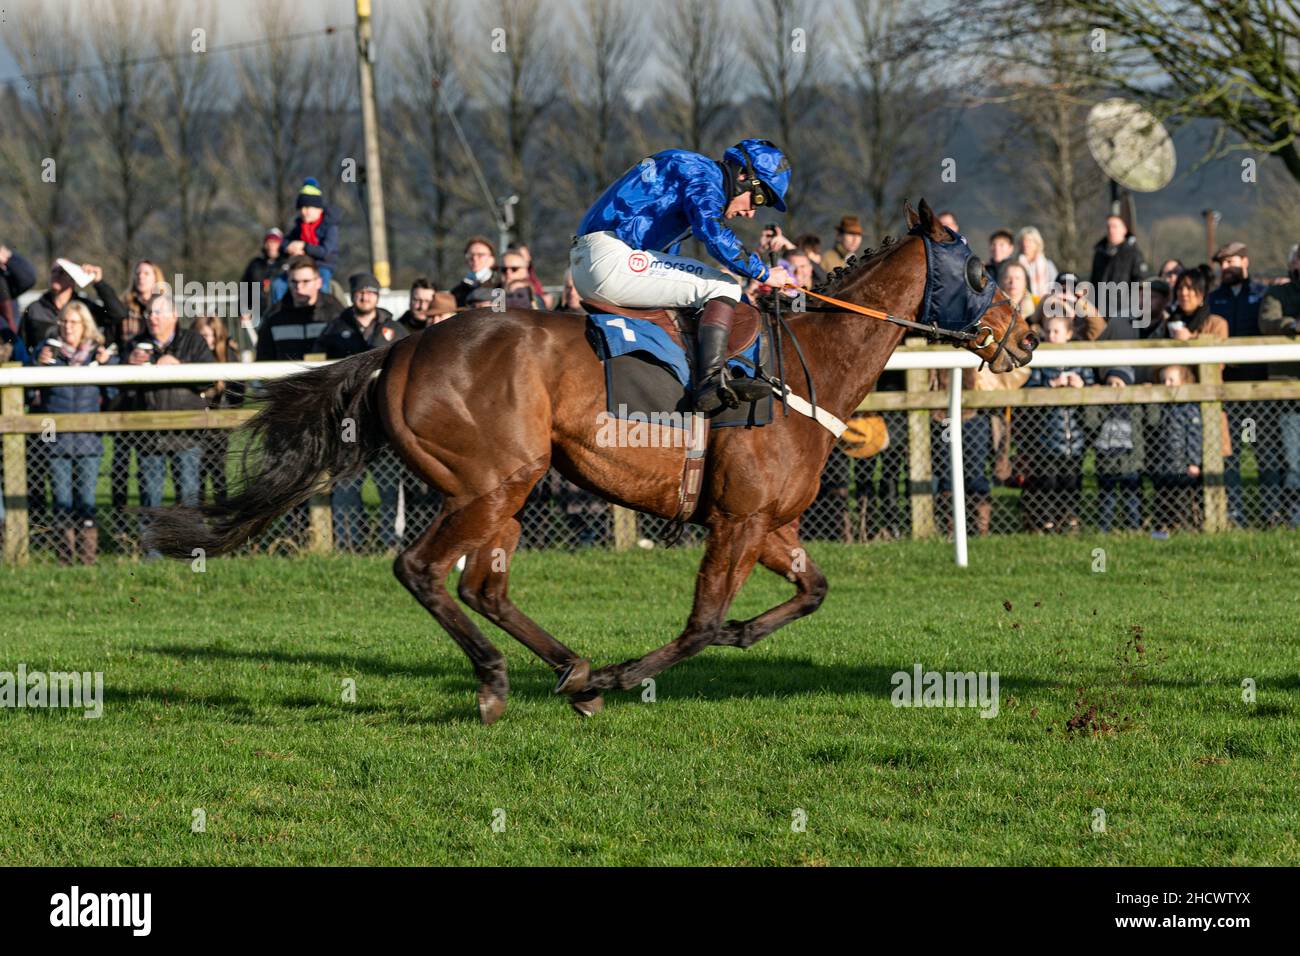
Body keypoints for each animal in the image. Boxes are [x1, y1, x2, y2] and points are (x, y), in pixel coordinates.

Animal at [147, 201, 1034, 723]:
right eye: (980, 269)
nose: (1024, 337)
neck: (803, 362)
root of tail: (400, 344)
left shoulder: (767, 523)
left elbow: (810, 592)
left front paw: (732, 637)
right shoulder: (737, 520)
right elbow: (701, 625)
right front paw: (620, 675)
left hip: (503, 491)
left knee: (484, 586)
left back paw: (563, 666)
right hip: (492, 482)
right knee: (423, 570)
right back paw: (505, 680)